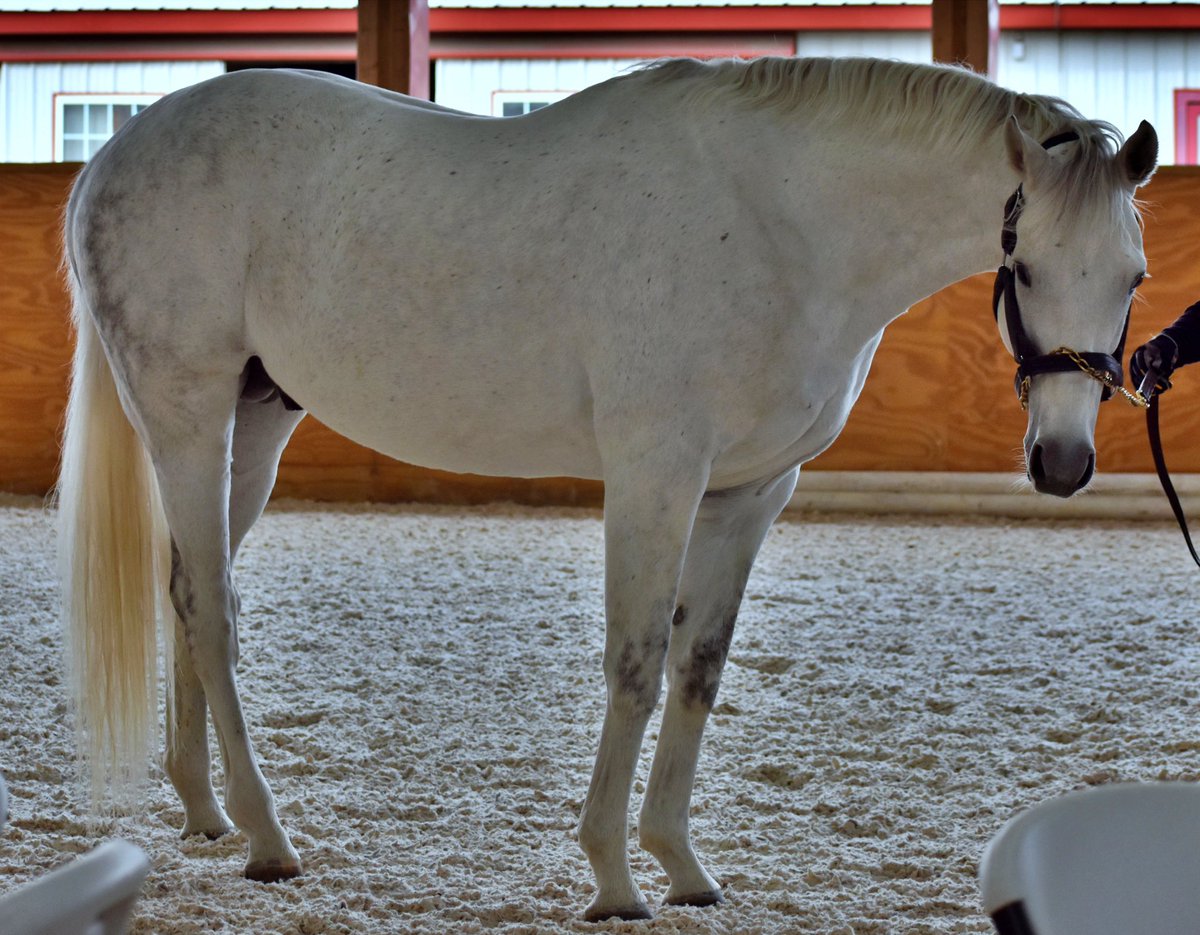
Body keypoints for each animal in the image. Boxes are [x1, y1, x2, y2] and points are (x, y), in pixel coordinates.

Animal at [56, 57, 1157, 922]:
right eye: (1022, 264)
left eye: (1135, 276)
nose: (1063, 461)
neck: (780, 222)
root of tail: (115, 154)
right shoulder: (655, 472)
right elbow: (635, 663)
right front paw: (615, 879)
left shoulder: (751, 491)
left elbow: (699, 666)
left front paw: (683, 865)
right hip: (188, 416)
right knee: (211, 610)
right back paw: (267, 837)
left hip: (254, 425)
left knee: (186, 590)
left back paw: (205, 813)